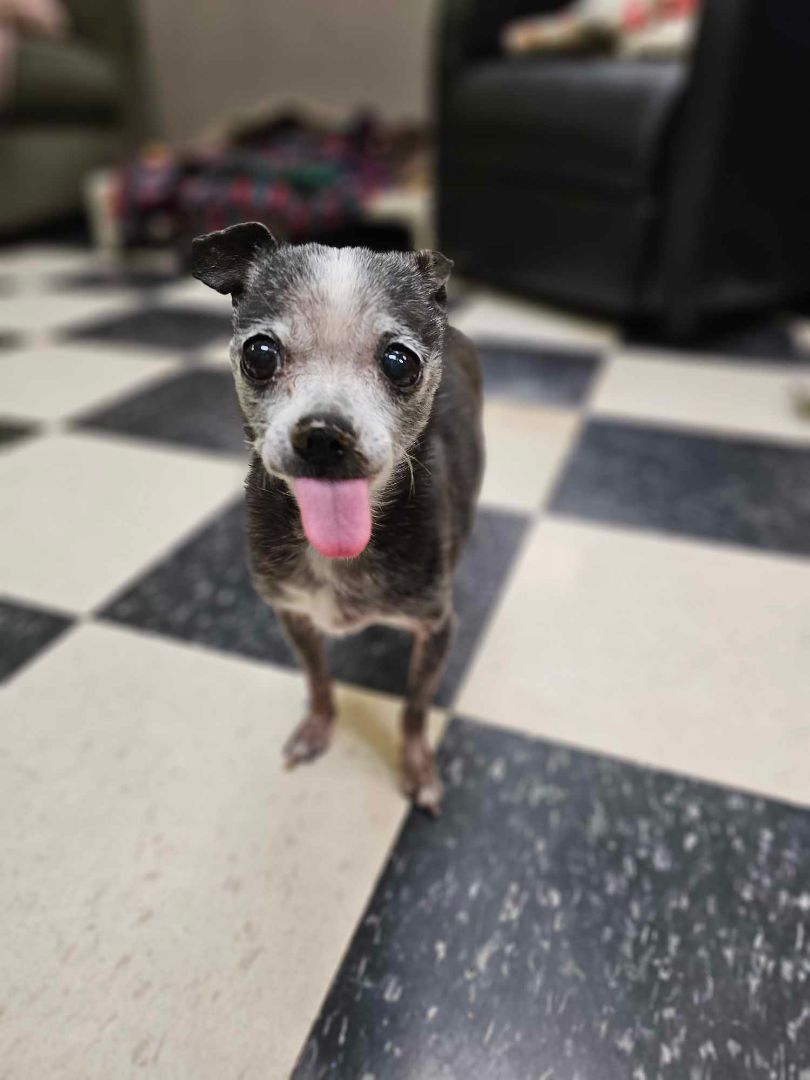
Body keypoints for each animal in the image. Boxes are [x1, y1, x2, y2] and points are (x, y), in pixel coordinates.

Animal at [193, 221, 486, 812]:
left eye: (401, 362)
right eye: (259, 354)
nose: (323, 433)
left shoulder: (435, 628)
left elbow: (415, 707)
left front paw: (417, 767)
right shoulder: (293, 614)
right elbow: (318, 679)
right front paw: (317, 728)